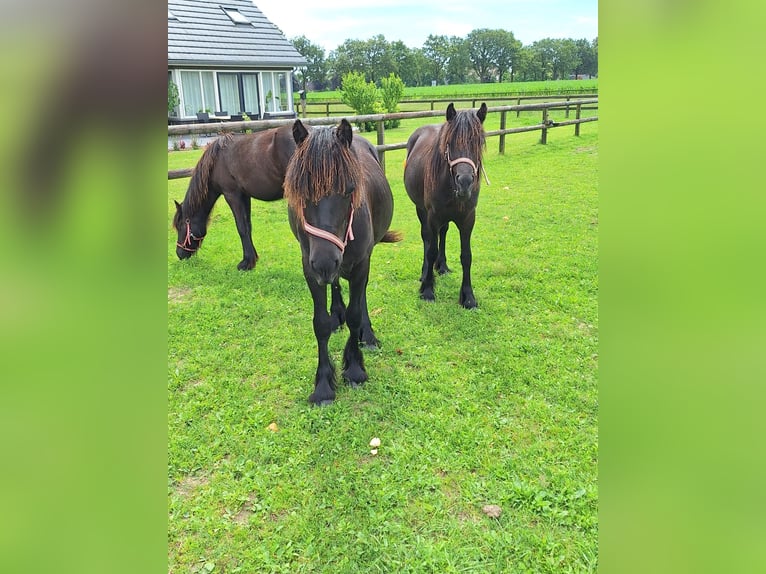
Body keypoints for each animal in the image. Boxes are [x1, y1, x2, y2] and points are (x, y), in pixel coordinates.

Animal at [172, 126, 296, 270]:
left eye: (180, 226)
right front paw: (253, 258)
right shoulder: (245, 196)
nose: (179, 254)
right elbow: (248, 226)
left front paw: (246, 262)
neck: (216, 161)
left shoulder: (232, 195)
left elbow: (241, 227)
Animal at [402, 103, 486, 310]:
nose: (465, 182)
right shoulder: (432, 216)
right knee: (427, 238)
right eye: (450, 142)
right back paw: (426, 272)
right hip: (421, 211)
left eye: (478, 142)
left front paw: (468, 297)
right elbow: (431, 249)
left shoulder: (468, 219)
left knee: (443, 233)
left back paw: (442, 266)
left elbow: (466, 256)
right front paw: (427, 290)